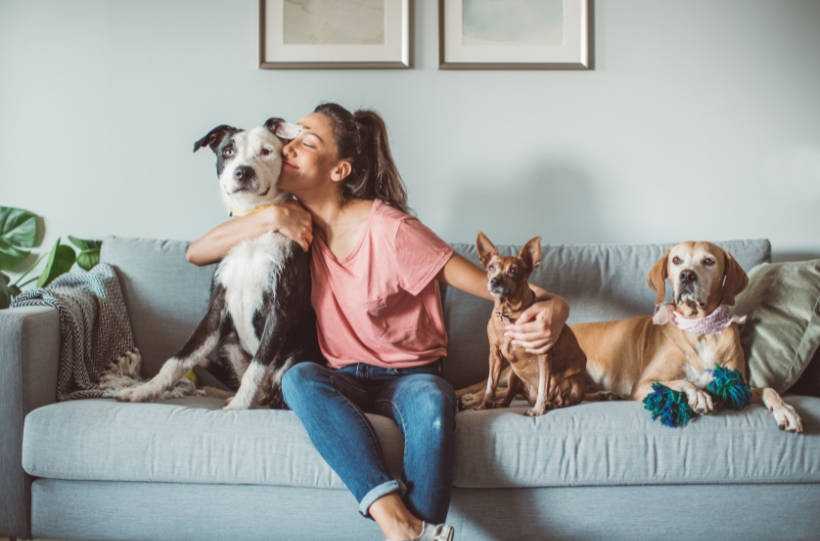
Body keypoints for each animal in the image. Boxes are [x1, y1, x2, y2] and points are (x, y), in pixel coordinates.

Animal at [116, 117, 320, 404]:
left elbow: (256, 367)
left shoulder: (281, 308)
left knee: (274, 396)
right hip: (228, 345)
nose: (242, 172)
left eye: (266, 151)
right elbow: (178, 359)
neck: (252, 224)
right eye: (228, 151)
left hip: (294, 357)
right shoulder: (216, 308)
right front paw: (144, 389)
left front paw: (238, 408)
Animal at [464, 230, 588, 416]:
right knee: (507, 399)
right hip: (514, 376)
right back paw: (497, 405)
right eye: (491, 267)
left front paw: (538, 409)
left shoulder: (544, 354)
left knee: (559, 399)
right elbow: (490, 385)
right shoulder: (495, 355)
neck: (508, 313)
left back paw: (549, 404)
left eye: (514, 270)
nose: (494, 281)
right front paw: (483, 405)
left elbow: (544, 385)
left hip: (572, 383)